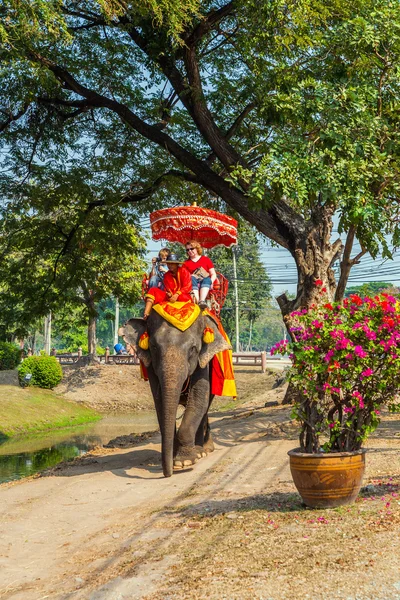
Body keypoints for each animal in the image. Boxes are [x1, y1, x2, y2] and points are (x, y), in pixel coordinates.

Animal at [119, 312, 231, 476]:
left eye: (192, 349)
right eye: (154, 347)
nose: (168, 473)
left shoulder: (203, 362)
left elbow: (199, 397)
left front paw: (184, 461)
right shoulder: (151, 364)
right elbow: (159, 402)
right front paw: (175, 458)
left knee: (205, 407)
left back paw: (202, 450)